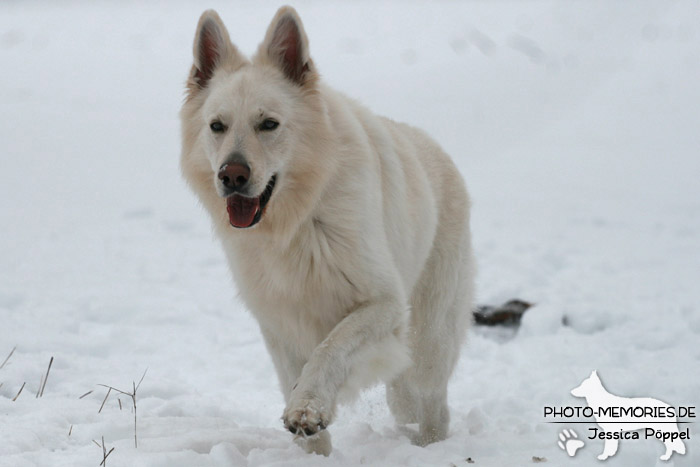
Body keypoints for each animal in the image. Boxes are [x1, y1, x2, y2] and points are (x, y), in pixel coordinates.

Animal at [180, 5, 476, 456]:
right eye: (217, 126)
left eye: (269, 124)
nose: (231, 175)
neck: (295, 222)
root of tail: (435, 148)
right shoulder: (279, 322)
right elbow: (295, 374)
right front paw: (313, 451)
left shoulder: (383, 303)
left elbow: (331, 347)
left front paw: (308, 407)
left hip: (428, 340)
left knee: (428, 402)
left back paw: (431, 447)